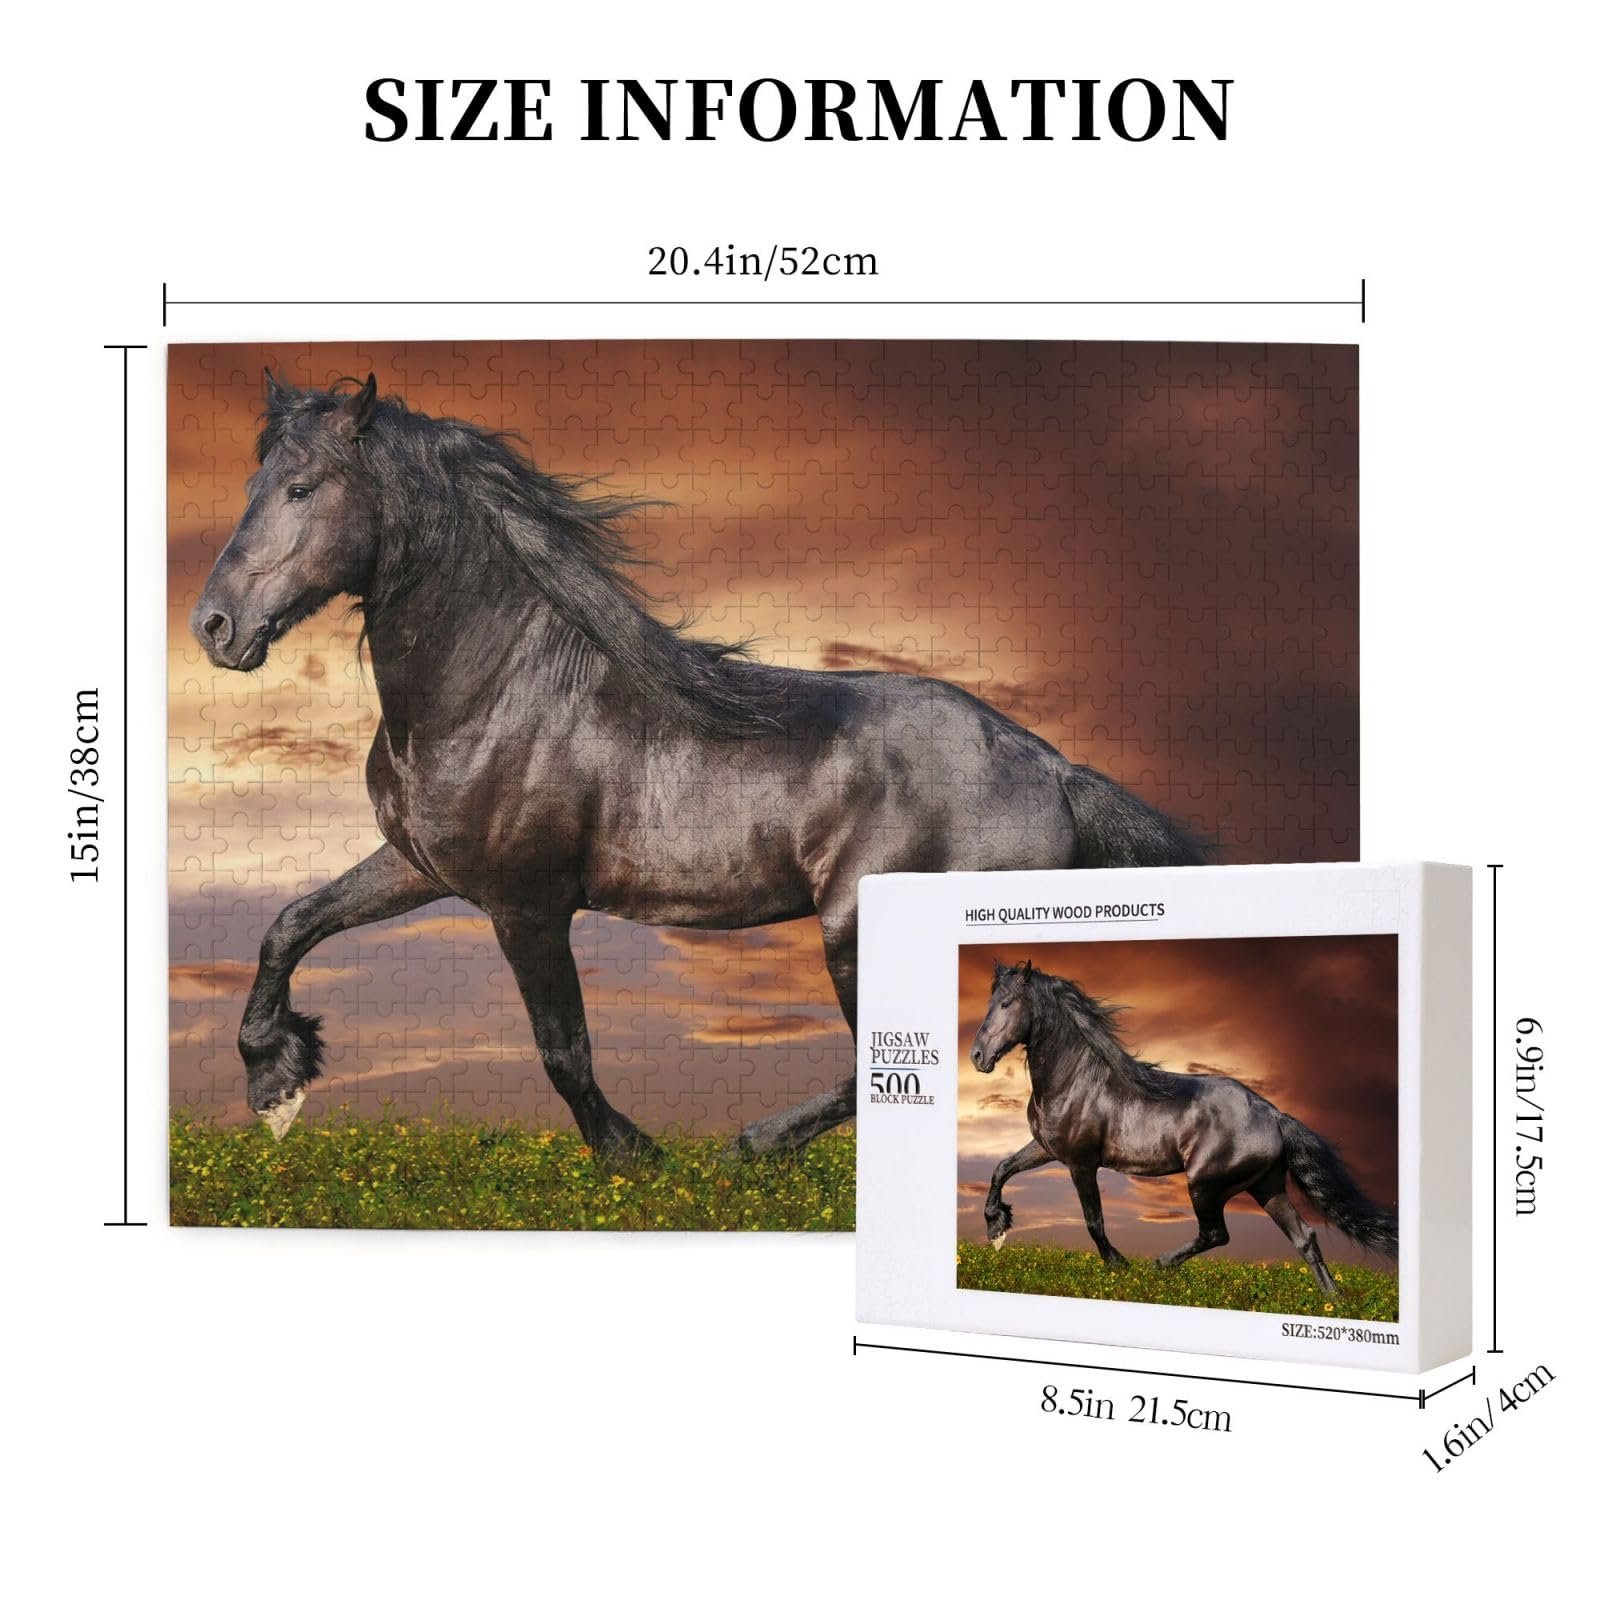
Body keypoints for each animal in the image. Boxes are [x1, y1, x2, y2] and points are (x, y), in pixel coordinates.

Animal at [191, 373, 1207, 1157]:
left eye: (303, 488)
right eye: (251, 480)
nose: (214, 627)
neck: (497, 692)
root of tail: (1051, 768)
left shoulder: (528, 905)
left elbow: (563, 1051)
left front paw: (631, 1154)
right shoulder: (420, 868)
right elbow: (290, 924)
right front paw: (275, 1082)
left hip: (853, 936)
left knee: (881, 1065)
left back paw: (749, 1145)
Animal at [969, 961, 1396, 1293]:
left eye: (1006, 1003)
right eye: (991, 1001)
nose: (976, 1056)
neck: (1074, 1079)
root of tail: (1273, 1114)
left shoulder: (1081, 1163)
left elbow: (1094, 1221)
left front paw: (1118, 1265)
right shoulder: (1046, 1148)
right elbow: (1001, 1168)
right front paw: (996, 1227)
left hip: (1206, 1185)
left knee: (1217, 1234)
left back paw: (1159, 1264)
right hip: (1267, 1186)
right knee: (1304, 1238)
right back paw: (1334, 1301)